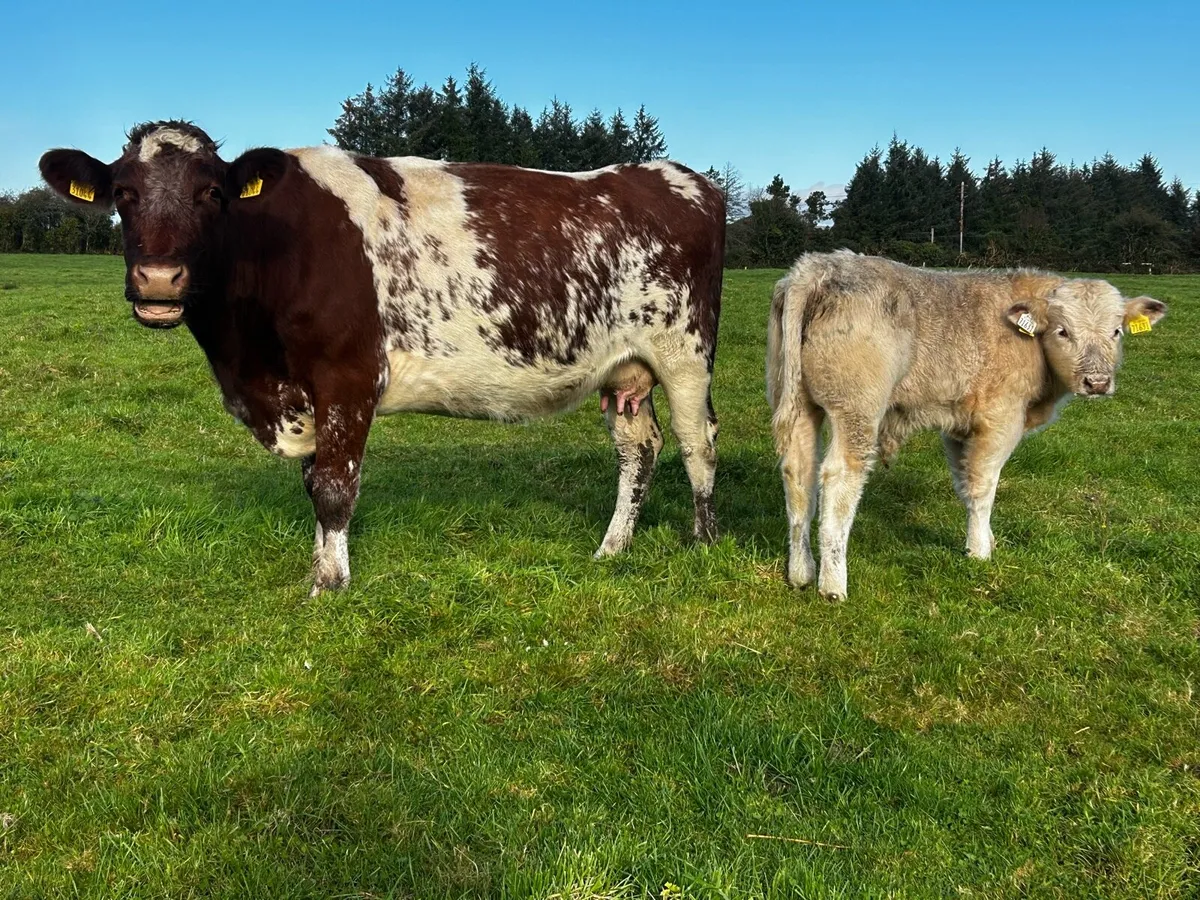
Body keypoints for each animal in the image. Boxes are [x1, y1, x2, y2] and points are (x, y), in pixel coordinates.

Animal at [40, 121, 725, 594]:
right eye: (123, 193)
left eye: (211, 192)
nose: (158, 280)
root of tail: (674, 175)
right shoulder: (303, 393)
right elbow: (313, 483)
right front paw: (321, 565)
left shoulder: (347, 376)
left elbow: (334, 487)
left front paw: (330, 584)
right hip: (623, 366)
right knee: (639, 448)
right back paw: (613, 548)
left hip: (686, 350)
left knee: (698, 441)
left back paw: (705, 543)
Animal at [766, 250, 1167, 601]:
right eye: (1063, 331)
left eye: (1116, 332)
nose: (1097, 382)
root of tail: (819, 268)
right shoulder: (1000, 420)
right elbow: (983, 486)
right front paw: (979, 552)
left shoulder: (958, 424)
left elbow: (964, 483)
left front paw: (985, 539)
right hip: (856, 410)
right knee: (839, 479)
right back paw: (833, 584)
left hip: (798, 403)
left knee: (798, 473)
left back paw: (801, 573)